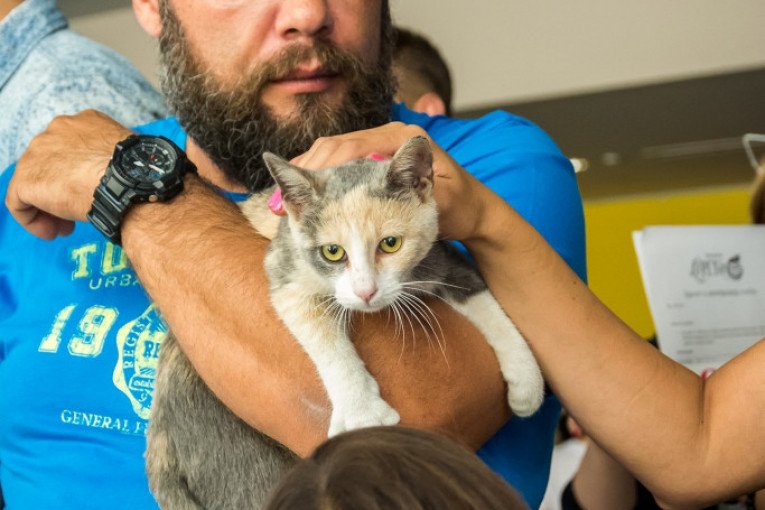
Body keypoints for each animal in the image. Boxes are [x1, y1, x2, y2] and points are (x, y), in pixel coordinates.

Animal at [145, 135, 544, 509]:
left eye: (391, 243)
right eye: (332, 252)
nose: (366, 291)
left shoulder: (437, 255)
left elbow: (479, 295)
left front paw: (527, 382)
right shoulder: (285, 272)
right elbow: (322, 335)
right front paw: (361, 411)